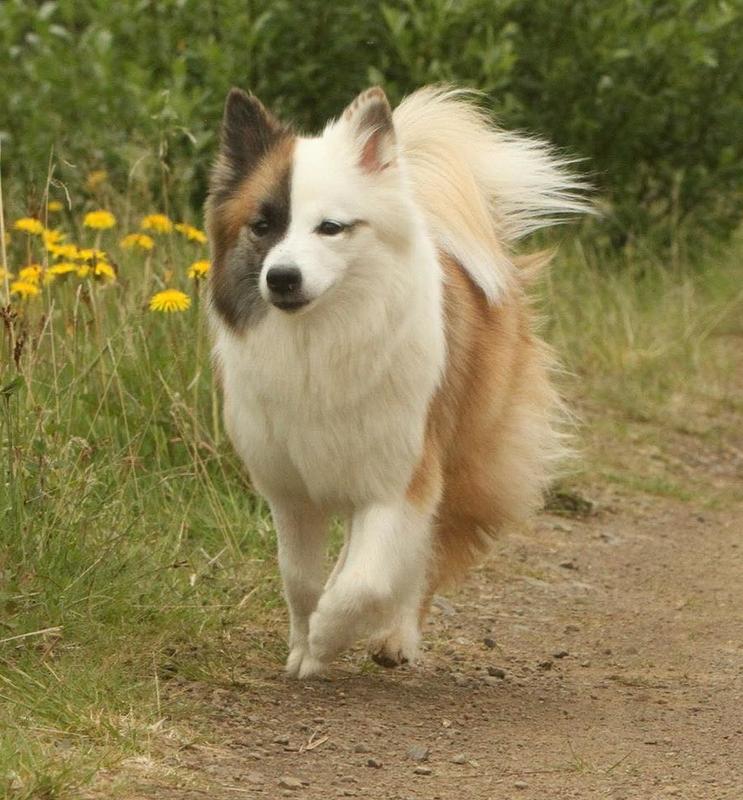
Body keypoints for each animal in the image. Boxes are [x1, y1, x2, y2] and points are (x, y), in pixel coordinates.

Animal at [206, 86, 588, 676]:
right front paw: (303, 648)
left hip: (467, 462)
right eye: (263, 226)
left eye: (330, 228)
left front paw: (328, 636)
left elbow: (367, 581)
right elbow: (301, 580)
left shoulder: (401, 480)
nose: (282, 277)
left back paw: (395, 638)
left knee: (430, 557)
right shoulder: (291, 490)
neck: (320, 339)